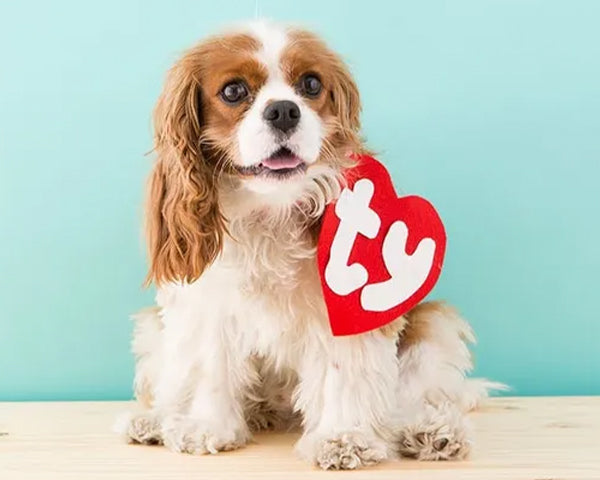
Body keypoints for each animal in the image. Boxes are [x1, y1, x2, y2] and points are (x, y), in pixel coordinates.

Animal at [119, 21, 500, 468]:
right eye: (233, 91)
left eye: (311, 84)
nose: (284, 110)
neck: (270, 211)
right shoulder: (206, 305)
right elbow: (209, 366)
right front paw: (205, 426)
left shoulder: (346, 309)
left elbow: (344, 370)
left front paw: (343, 437)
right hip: (152, 329)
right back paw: (156, 420)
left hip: (434, 325)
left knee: (415, 395)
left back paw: (430, 430)